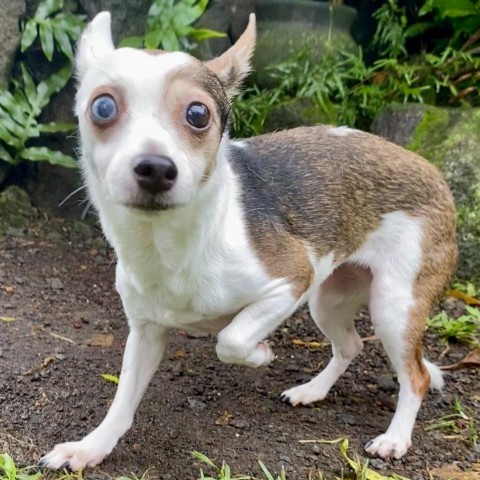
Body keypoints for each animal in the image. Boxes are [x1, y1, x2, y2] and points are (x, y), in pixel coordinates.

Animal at [41, 12, 458, 472]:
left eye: (198, 114)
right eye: (102, 107)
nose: (155, 167)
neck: (168, 246)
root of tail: (430, 168)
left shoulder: (292, 279)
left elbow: (231, 339)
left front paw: (260, 354)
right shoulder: (145, 333)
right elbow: (121, 402)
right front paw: (90, 447)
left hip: (393, 307)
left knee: (416, 376)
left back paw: (395, 438)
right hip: (327, 299)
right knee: (349, 344)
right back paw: (312, 391)